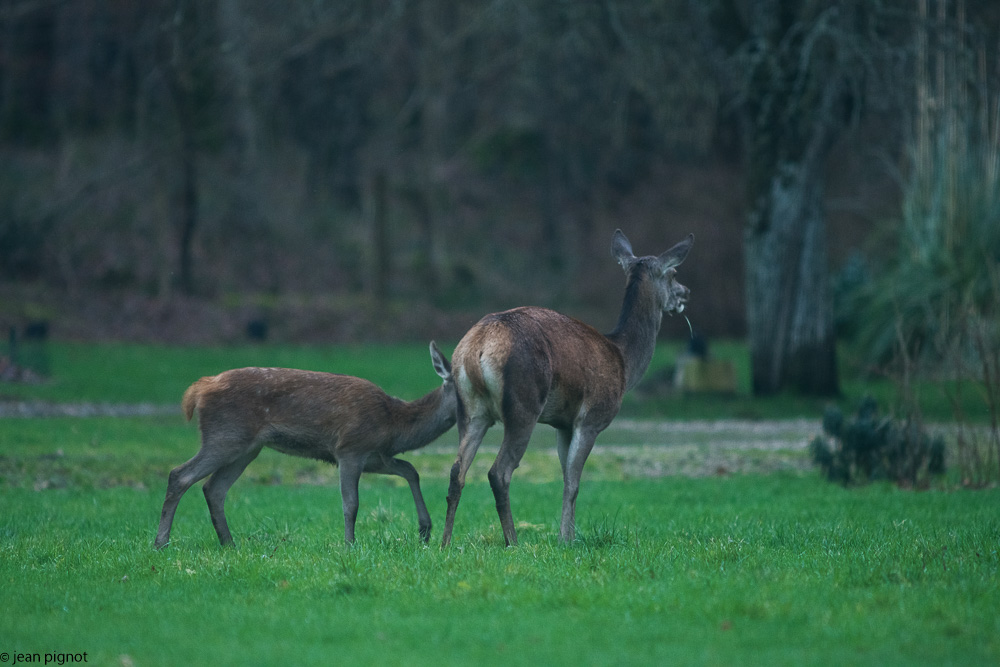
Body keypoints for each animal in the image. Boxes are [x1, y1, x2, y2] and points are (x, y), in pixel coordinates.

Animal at [156, 342, 458, 552]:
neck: (394, 425)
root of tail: (199, 390)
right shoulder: (350, 447)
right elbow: (351, 503)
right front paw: (349, 545)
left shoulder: (376, 456)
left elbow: (410, 469)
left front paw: (424, 530)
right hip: (225, 435)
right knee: (180, 474)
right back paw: (162, 542)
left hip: (247, 448)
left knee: (214, 488)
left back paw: (228, 543)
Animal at [442, 231, 692, 548]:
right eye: (673, 274)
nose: (686, 293)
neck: (623, 362)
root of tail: (478, 346)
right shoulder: (591, 419)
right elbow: (573, 483)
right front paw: (567, 539)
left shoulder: (563, 424)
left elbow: (565, 478)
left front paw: (567, 535)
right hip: (523, 404)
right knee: (499, 471)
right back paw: (513, 542)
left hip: (470, 408)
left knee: (456, 470)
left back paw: (443, 542)